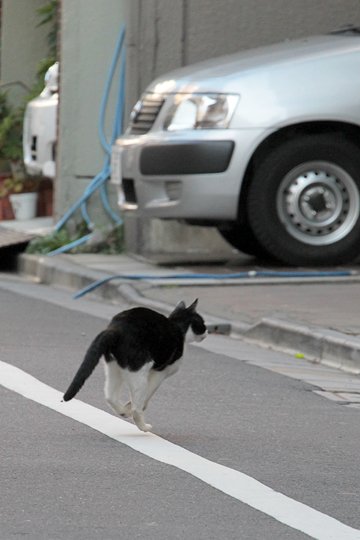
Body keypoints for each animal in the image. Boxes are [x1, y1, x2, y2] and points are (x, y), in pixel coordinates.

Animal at [63, 300, 207, 430]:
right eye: (203, 323)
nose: (207, 331)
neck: (178, 327)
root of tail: (116, 328)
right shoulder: (160, 373)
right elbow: (147, 395)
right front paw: (134, 406)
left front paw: (126, 407)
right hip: (139, 372)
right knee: (136, 409)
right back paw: (143, 426)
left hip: (114, 369)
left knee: (110, 396)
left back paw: (122, 411)